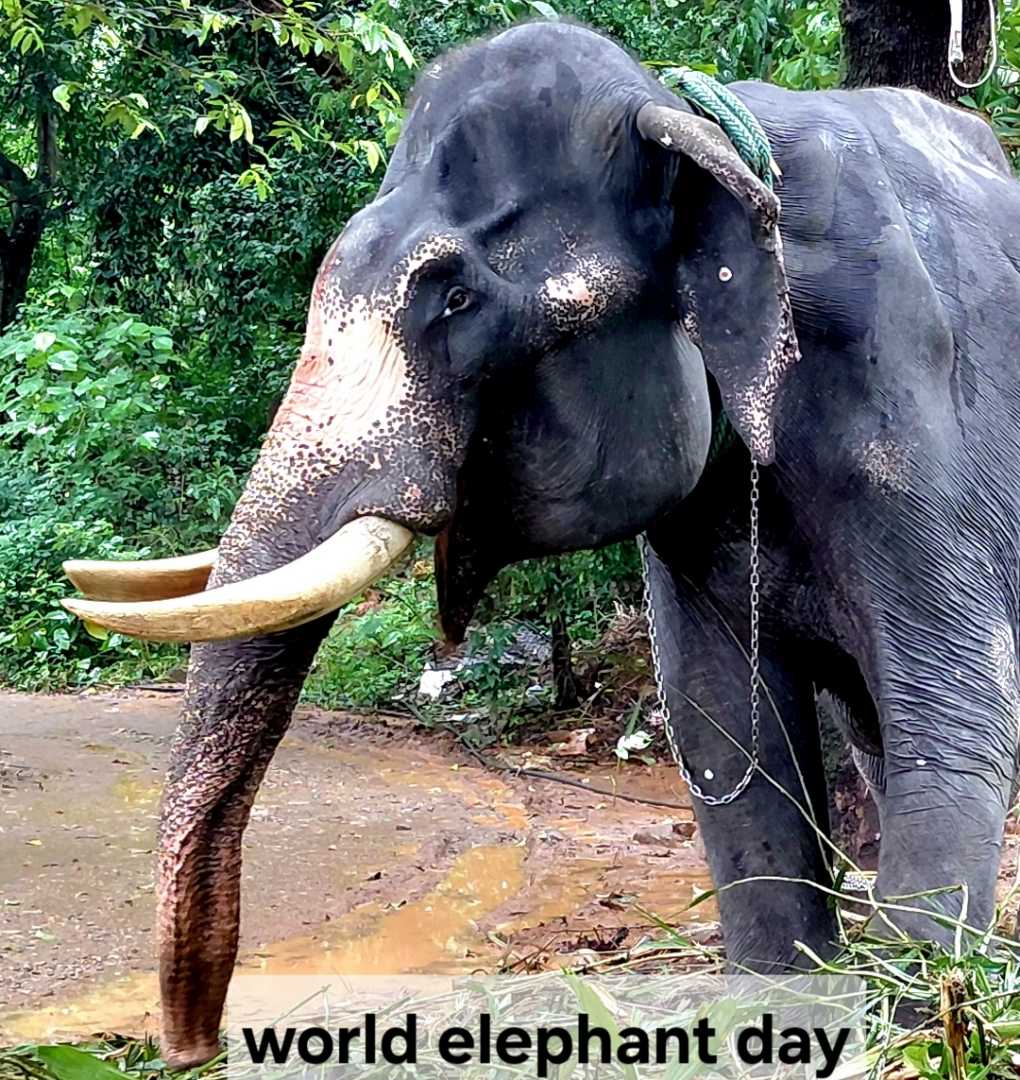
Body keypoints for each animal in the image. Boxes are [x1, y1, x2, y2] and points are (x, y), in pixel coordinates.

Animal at [61, 20, 1020, 1068]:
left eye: (453, 298)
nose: (193, 1051)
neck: (690, 115)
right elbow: (723, 730)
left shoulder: (909, 408)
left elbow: (958, 717)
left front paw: (919, 1030)